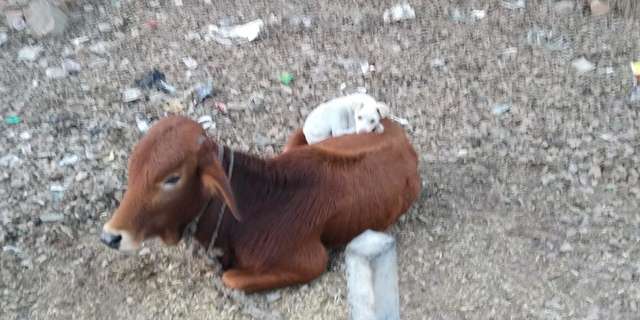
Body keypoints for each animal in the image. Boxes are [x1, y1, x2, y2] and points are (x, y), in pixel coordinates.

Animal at [99, 115, 420, 292]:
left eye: (172, 178)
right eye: (132, 167)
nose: (110, 236)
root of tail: (401, 137)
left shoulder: (312, 260)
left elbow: (231, 278)